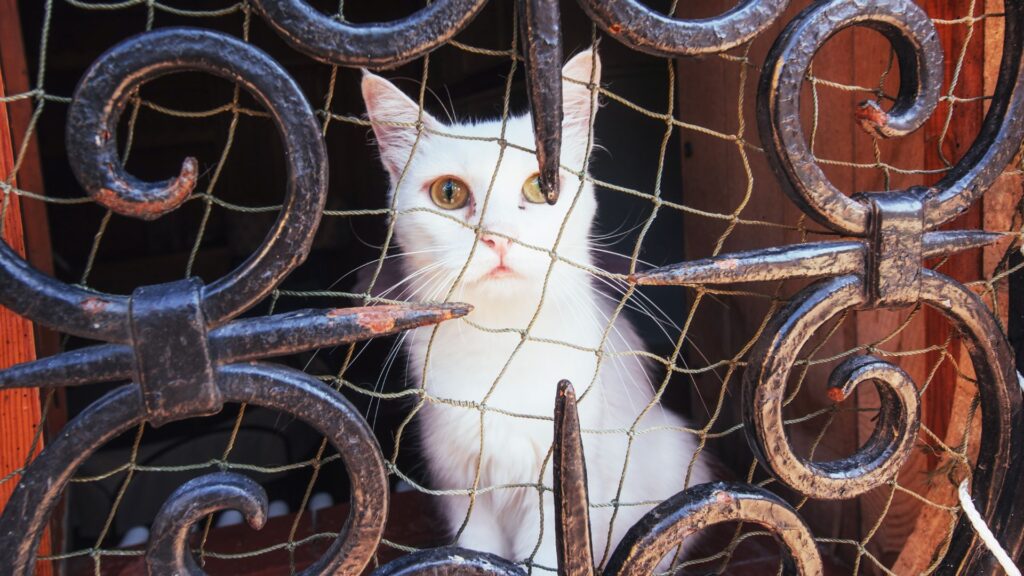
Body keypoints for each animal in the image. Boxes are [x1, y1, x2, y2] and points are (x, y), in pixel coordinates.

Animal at [362, 50, 712, 569]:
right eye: (448, 193)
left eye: (537, 187)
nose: (498, 237)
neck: (502, 340)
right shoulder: (463, 491)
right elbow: (476, 551)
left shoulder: (564, 493)